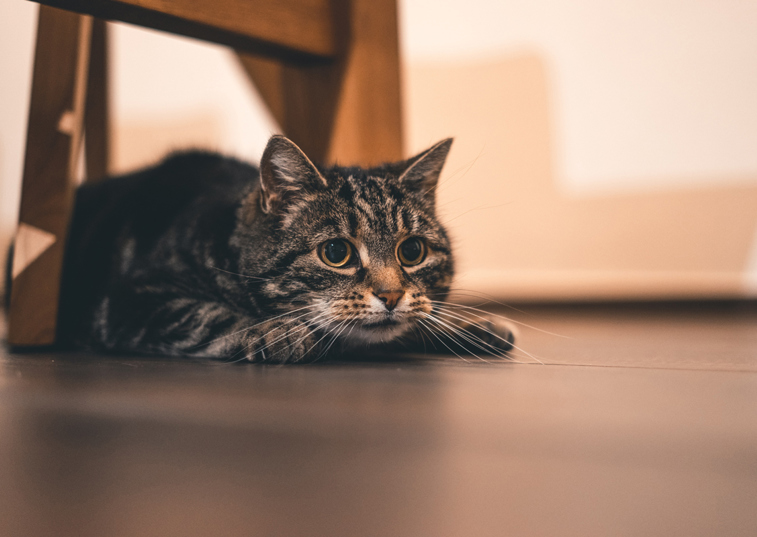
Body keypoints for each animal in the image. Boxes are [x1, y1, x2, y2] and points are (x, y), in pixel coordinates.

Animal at [51, 134, 512, 362]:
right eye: (336, 253)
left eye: (412, 251)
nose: (392, 295)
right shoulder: (132, 298)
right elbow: (208, 314)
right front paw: (282, 331)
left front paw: (474, 327)